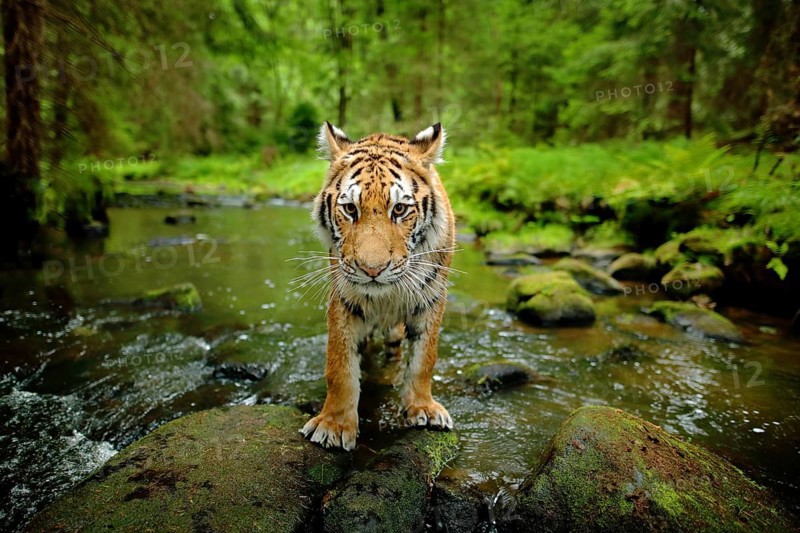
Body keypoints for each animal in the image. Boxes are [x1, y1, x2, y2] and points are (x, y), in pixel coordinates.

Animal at [300, 121, 456, 451]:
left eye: (399, 209)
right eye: (349, 209)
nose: (372, 269)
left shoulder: (432, 298)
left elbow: (424, 359)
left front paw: (423, 409)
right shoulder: (344, 300)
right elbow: (340, 366)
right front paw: (333, 425)